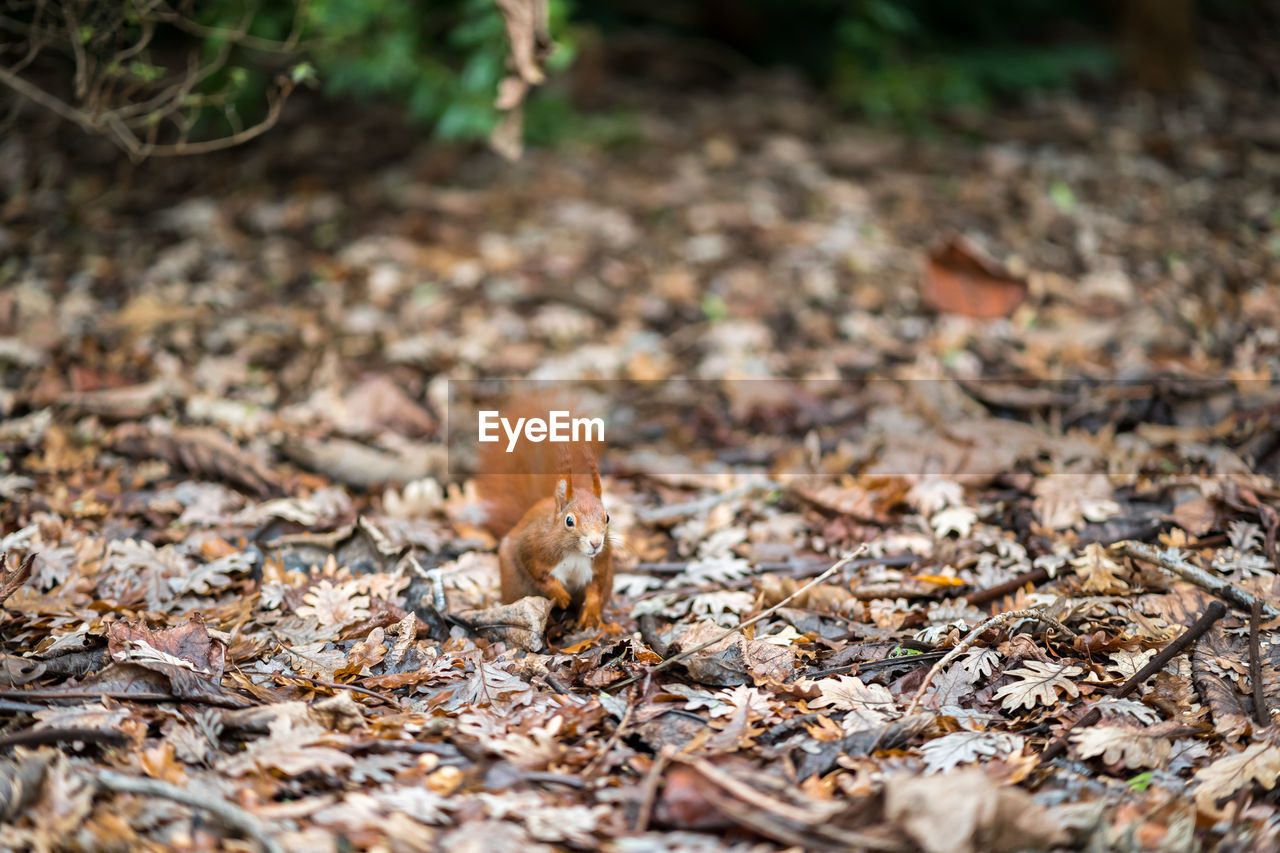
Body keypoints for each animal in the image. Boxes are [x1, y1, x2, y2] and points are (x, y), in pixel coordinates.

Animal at [476, 402, 614, 627]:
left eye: (607, 517)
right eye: (569, 521)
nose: (595, 543)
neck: (575, 553)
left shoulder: (601, 562)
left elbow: (596, 586)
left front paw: (592, 609)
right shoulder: (533, 545)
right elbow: (536, 571)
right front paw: (559, 594)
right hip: (516, 584)